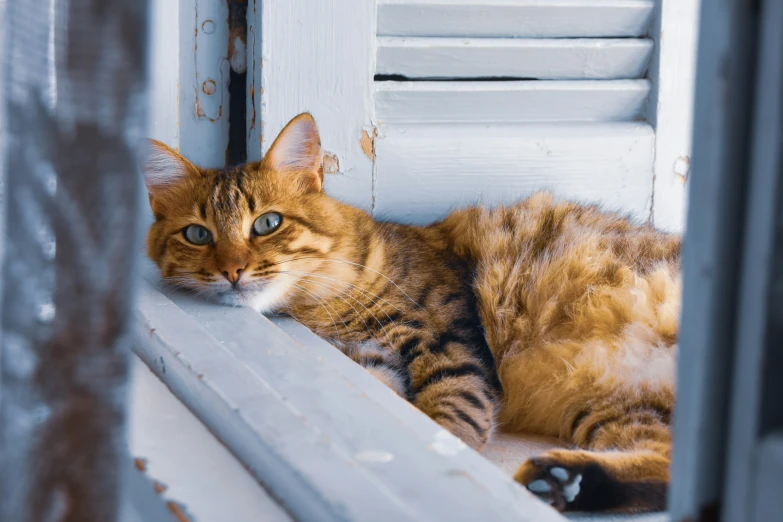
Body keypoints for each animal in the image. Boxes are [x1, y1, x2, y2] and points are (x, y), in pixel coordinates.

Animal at [144, 112, 684, 512]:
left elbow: (450, 412)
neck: (323, 305)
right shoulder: (373, 362)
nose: (232, 270)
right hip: (613, 405)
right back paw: (563, 481)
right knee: (664, 464)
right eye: (197, 234)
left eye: (266, 224)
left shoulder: (447, 339)